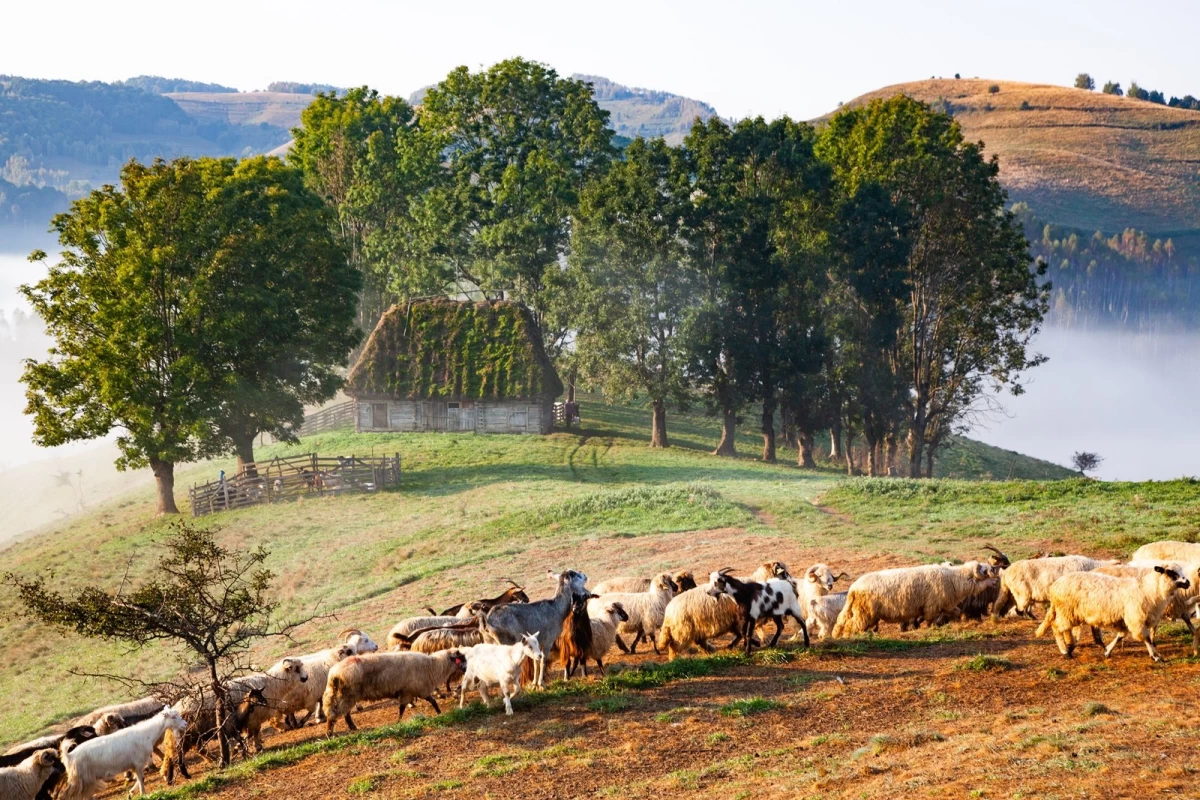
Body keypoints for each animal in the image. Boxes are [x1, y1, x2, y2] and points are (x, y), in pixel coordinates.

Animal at [324, 647, 468, 734]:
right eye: (461, 658)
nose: (467, 669)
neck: (432, 666)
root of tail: (333, 673)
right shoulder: (413, 690)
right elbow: (404, 708)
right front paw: (398, 722)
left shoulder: (415, 690)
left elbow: (430, 702)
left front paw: (439, 713)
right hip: (346, 695)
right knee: (334, 714)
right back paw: (330, 733)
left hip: (347, 696)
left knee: (345, 713)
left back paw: (352, 727)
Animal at [835, 563, 993, 638]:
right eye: (984, 571)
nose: (995, 573)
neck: (954, 579)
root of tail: (853, 588)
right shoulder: (931, 607)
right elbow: (929, 622)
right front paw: (928, 628)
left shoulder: (946, 605)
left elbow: (956, 613)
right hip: (865, 613)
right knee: (850, 626)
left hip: (865, 613)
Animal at [1032, 563, 1190, 662]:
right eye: (1171, 572)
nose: (1187, 582)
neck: (1148, 590)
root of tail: (1055, 586)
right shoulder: (1136, 619)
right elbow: (1146, 639)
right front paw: (1156, 657)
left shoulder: (1126, 620)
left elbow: (1121, 635)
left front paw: (1107, 651)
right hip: (1066, 611)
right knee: (1057, 627)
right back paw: (1065, 651)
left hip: (1071, 613)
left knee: (1064, 629)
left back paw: (1070, 646)